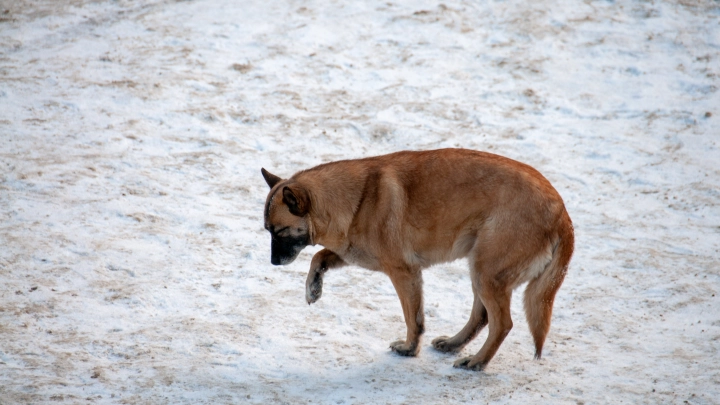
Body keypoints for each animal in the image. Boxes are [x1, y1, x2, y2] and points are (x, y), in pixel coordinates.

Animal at [262, 148, 572, 370]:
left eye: (279, 232)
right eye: (267, 231)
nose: (273, 263)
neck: (358, 199)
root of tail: (562, 214)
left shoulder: (404, 272)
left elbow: (414, 318)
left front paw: (409, 349)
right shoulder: (353, 253)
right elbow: (318, 256)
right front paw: (313, 288)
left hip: (486, 274)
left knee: (502, 324)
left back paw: (477, 362)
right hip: (479, 269)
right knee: (482, 316)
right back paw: (454, 345)